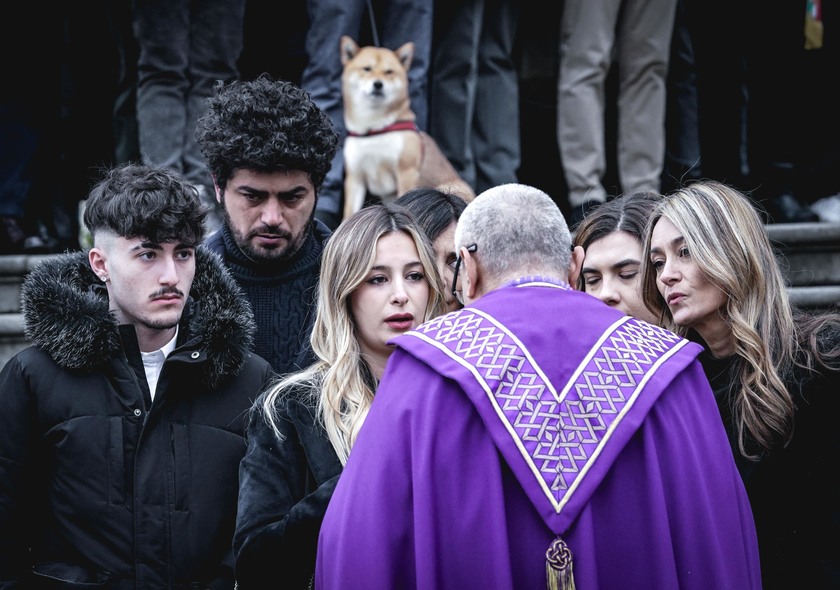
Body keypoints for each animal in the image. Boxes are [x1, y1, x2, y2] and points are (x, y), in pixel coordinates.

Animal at [340, 37, 472, 222]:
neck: (374, 129)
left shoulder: (406, 173)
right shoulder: (355, 178)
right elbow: (349, 214)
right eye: (367, 69)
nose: (378, 84)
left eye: (389, 72)